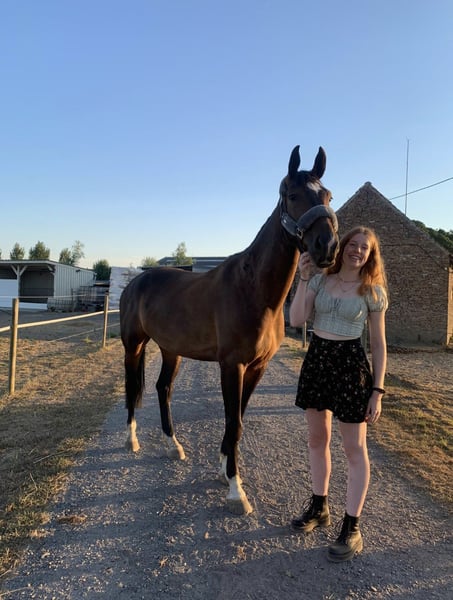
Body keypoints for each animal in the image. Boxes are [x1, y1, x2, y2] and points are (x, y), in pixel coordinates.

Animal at [119, 145, 339, 515]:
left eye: (328, 196)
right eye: (293, 195)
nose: (328, 246)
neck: (253, 290)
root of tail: (137, 280)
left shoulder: (256, 367)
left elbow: (237, 419)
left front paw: (225, 471)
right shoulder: (231, 365)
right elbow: (233, 422)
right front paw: (237, 492)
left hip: (171, 350)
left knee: (163, 389)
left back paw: (173, 444)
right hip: (133, 345)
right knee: (132, 387)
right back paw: (131, 439)